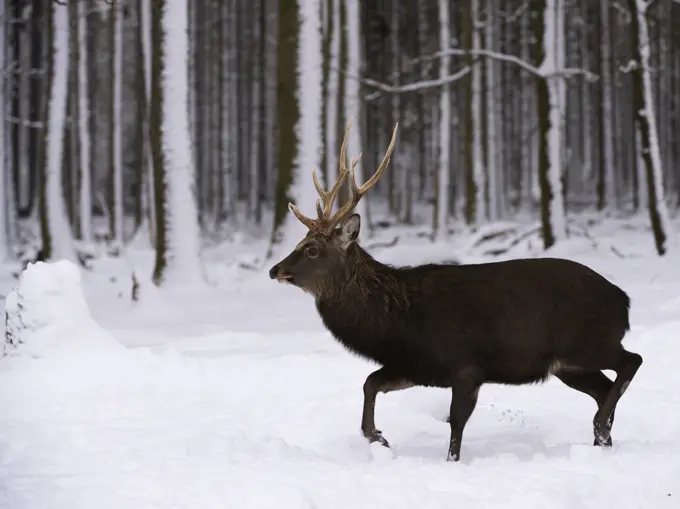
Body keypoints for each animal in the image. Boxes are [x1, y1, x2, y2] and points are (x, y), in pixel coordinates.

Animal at [266, 119, 644, 460]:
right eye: (301, 241)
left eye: (312, 249)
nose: (275, 269)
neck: (397, 321)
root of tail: (623, 300)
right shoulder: (415, 366)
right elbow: (370, 382)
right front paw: (379, 438)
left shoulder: (466, 367)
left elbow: (455, 425)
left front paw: (446, 461)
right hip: (567, 364)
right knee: (603, 388)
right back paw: (601, 441)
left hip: (588, 342)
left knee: (631, 361)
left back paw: (599, 428)